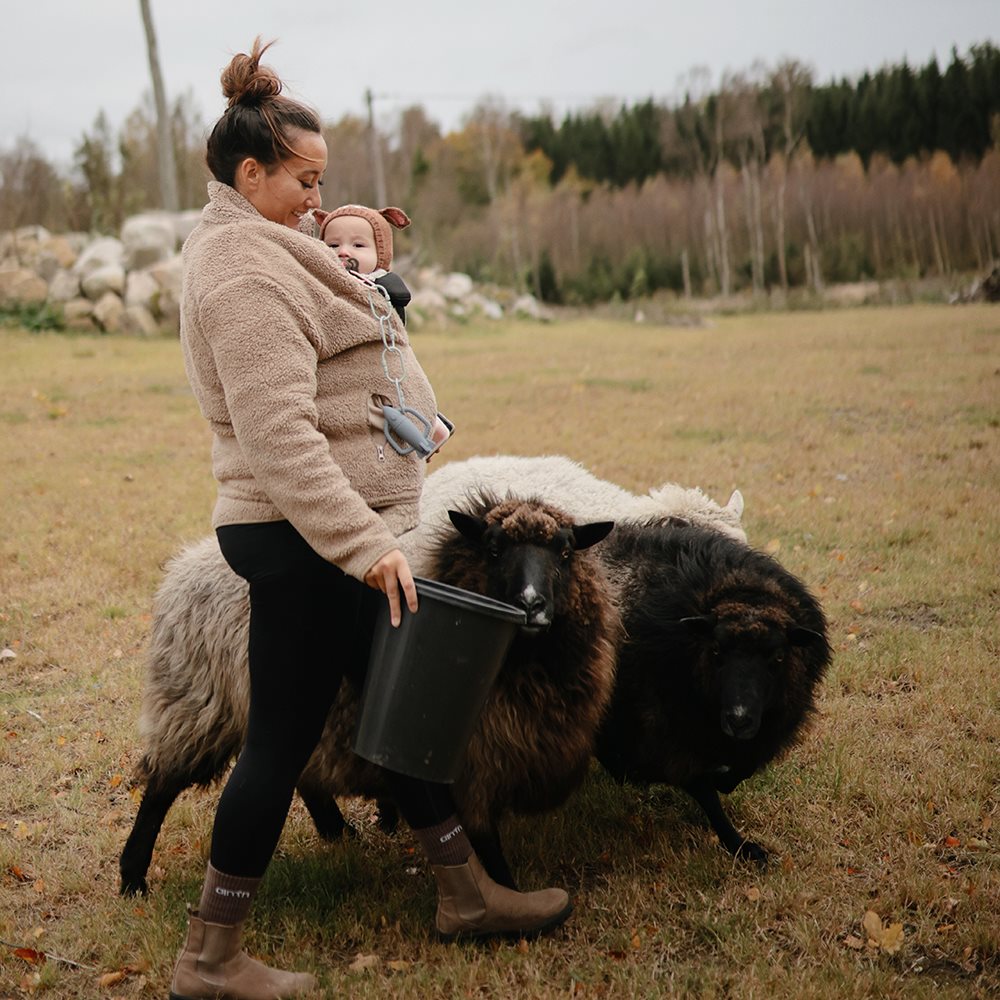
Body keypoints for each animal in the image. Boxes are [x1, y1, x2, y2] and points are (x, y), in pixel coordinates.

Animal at [588, 520, 832, 864]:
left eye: (778, 658)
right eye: (716, 650)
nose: (739, 719)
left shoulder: (761, 731)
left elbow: (741, 769)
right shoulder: (666, 736)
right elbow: (702, 787)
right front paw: (739, 844)